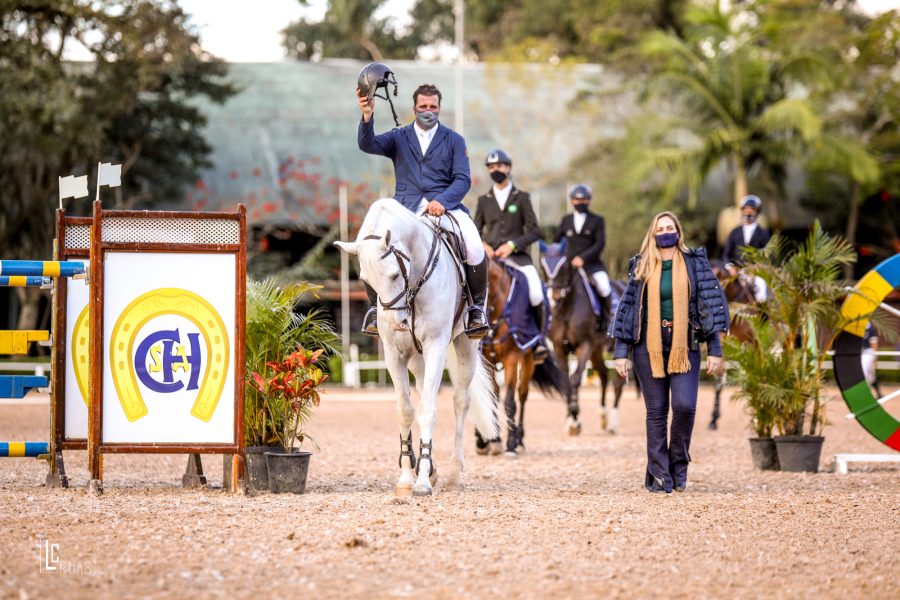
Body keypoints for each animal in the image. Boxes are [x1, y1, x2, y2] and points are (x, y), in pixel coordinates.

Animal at [334, 199, 500, 494]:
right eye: (366, 281)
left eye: (393, 275)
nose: (398, 323)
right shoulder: (394, 354)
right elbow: (406, 410)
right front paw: (406, 476)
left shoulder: (435, 347)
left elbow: (427, 410)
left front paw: (421, 481)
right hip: (416, 358)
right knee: (424, 391)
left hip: (465, 346)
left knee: (460, 401)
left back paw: (454, 474)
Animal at [478, 255, 568, 458]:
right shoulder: (487, 361)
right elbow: (489, 398)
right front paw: (488, 441)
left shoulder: (511, 359)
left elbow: (510, 402)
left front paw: (510, 444)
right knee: (496, 393)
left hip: (527, 361)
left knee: (523, 394)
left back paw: (518, 440)